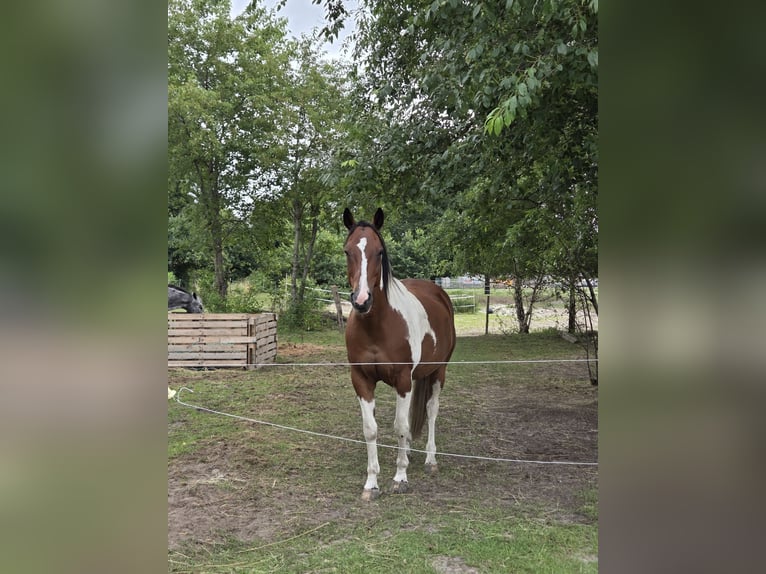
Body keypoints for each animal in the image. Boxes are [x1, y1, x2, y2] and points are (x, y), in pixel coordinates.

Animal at [343, 207, 456, 500]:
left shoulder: (403, 380)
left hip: (439, 371)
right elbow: (371, 429)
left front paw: (400, 477)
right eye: (347, 251)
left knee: (431, 410)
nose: (361, 301)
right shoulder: (361, 380)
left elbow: (400, 426)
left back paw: (430, 459)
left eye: (380, 251)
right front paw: (371, 483)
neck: (377, 326)